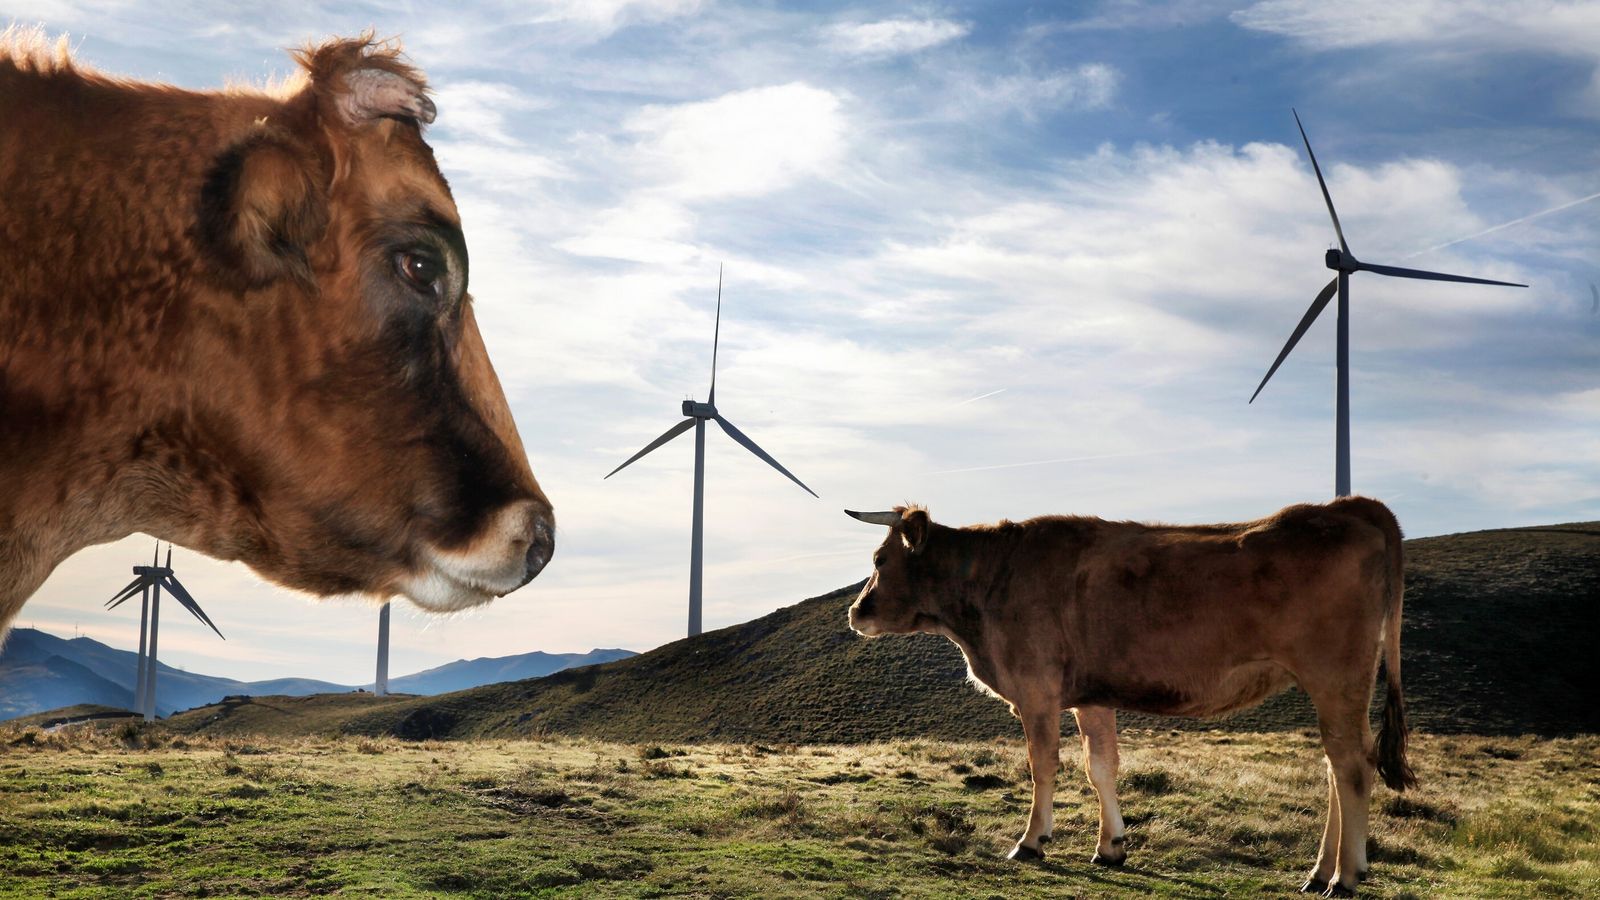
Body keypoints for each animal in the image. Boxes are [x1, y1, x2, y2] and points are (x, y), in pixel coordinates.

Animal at [844, 497, 1414, 897]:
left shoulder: (1036, 690)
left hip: (1335, 677)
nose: (855, 612)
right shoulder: (1091, 695)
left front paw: (1031, 841)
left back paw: (1343, 877)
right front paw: (1110, 846)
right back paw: (1320, 872)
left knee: (1351, 767)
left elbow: (1043, 765)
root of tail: (1348, 506)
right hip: (1339, 686)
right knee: (1337, 766)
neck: (991, 581)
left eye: (879, 558)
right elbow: (1101, 767)